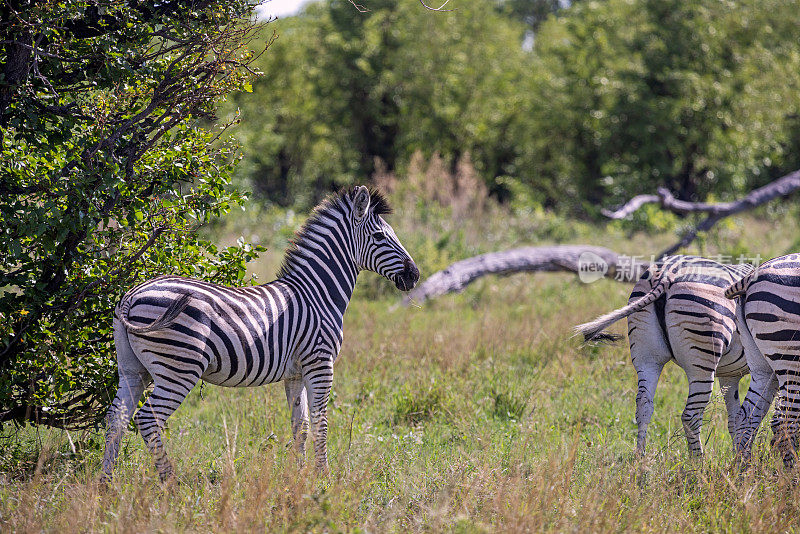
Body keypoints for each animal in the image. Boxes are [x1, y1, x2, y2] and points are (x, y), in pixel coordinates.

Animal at [103, 186, 422, 484]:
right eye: (380, 237)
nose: (415, 275)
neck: (317, 293)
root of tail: (131, 295)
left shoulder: (295, 372)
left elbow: (300, 426)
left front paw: (299, 478)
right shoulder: (320, 363)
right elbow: (321, 423)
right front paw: (324, 478)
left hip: (133, 369)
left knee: (116, 418)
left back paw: (105, 484)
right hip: (179, 368)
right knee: (147, 420)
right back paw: (170, 483)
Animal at [572, 258, 752, 458]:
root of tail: (667, 274)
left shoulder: (730, 374)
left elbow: (735, 419)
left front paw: (738, 456)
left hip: (646, 356)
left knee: (643, 405)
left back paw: (640, 459)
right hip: (702, 361)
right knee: (691, 416)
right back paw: (698, 463)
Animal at [724, 255, 800, 464]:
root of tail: (751, 277)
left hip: (761, 366)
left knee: (746, 418)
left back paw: (743, 470)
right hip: (791, 360)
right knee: (784, 423)